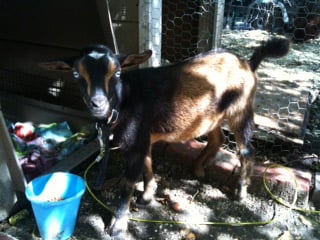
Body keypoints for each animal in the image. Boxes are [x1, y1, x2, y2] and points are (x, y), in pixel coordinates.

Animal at [39, 38, 290, 235]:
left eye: (117, 72)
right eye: (76, 74)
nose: (98, 104)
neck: (124, 101)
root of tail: (248, 63)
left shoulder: (137, 140)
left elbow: (128, 183)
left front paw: (118, 225)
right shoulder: (143, 138)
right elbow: (148, 164)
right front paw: (148, 195)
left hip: (241, 109)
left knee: (246, 149)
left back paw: (241, 191)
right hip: (212, 116)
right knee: (217, 140)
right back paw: (198, 169)